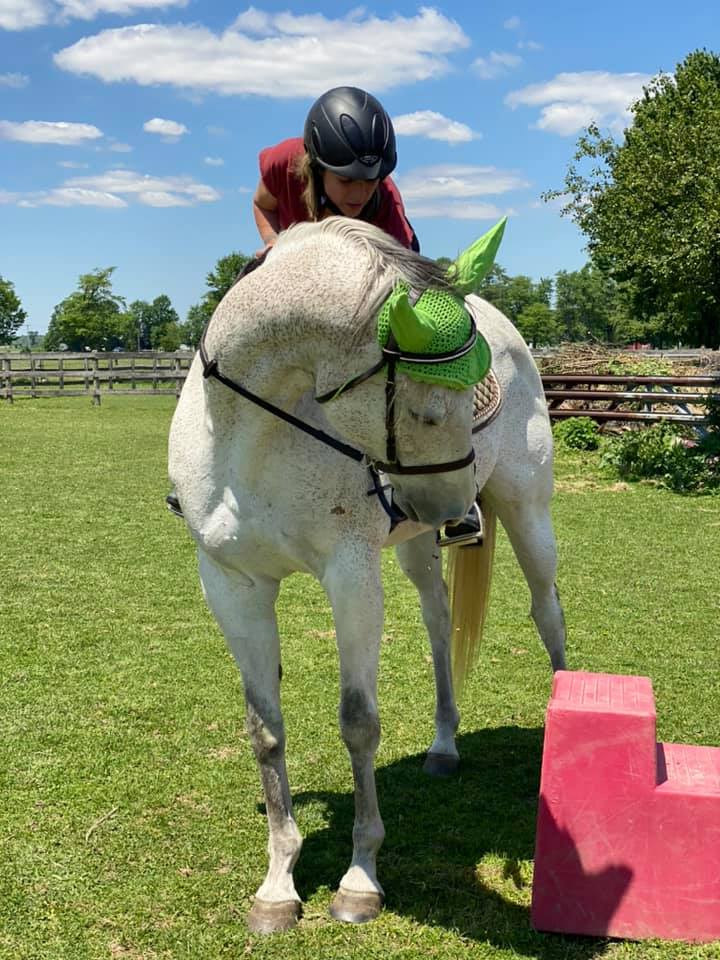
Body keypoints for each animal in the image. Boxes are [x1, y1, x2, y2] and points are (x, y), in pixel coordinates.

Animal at [168, 216, 566, 934]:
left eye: (470, 401)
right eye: (426, 413)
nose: (454, 506)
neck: (251, 434)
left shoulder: (350, 575)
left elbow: (358, 722)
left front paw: (359, 880)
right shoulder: (232, 583)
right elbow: (265, 730)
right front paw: (277, 885)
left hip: (527, 511)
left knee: (548, 612)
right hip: (415, 545)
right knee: (439, 623)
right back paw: (444, 745)